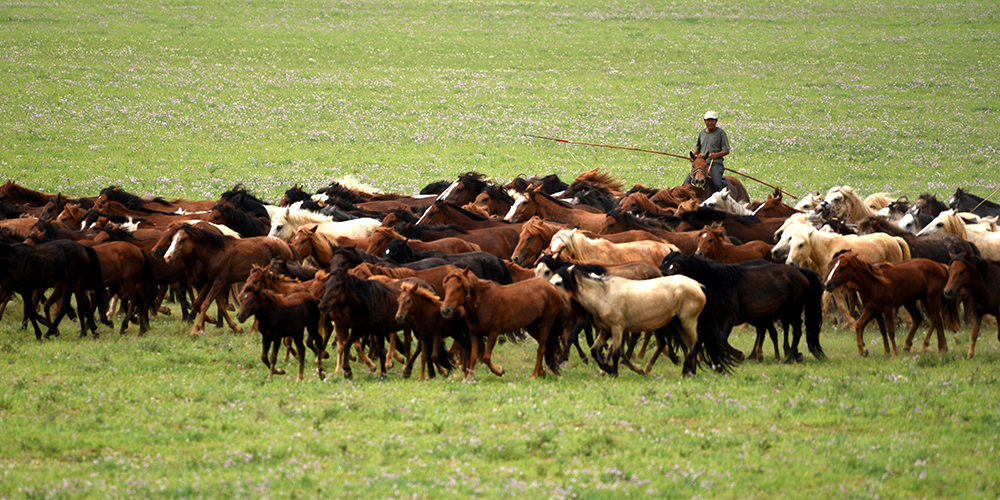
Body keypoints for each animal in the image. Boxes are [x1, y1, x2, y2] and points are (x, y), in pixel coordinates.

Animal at [820, 252, 960, 358]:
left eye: (842, 267)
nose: (828, 284)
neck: (874, 282)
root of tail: (941, 266)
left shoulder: (887, 309)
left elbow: (890, 331)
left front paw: (894, 353)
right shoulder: (872, 309)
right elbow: (862, 326)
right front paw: (868, 350)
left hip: (930, 299)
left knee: (935, 320)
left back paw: (926, 345)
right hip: (911, 302)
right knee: (924, 319)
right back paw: (939, 348)